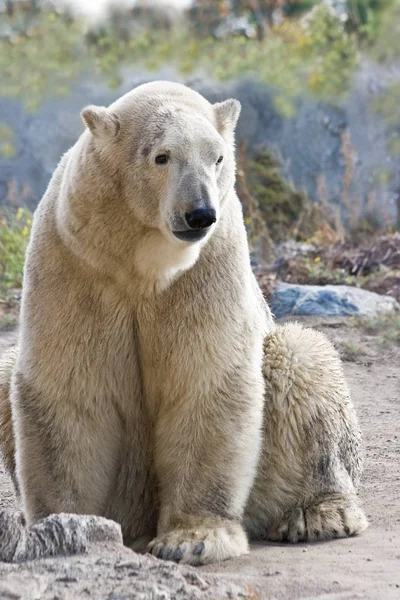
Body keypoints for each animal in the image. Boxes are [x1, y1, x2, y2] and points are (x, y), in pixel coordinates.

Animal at [0, 81, 366, 564]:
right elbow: (68, 388)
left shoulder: (209, 266)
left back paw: (319, 513)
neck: (142, 267)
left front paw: (193, 539)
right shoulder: (73, 262)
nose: (200, 213)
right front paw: (62, 525)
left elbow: (205, 382)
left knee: (300, 359)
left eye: (218, 157)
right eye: (162, 156)